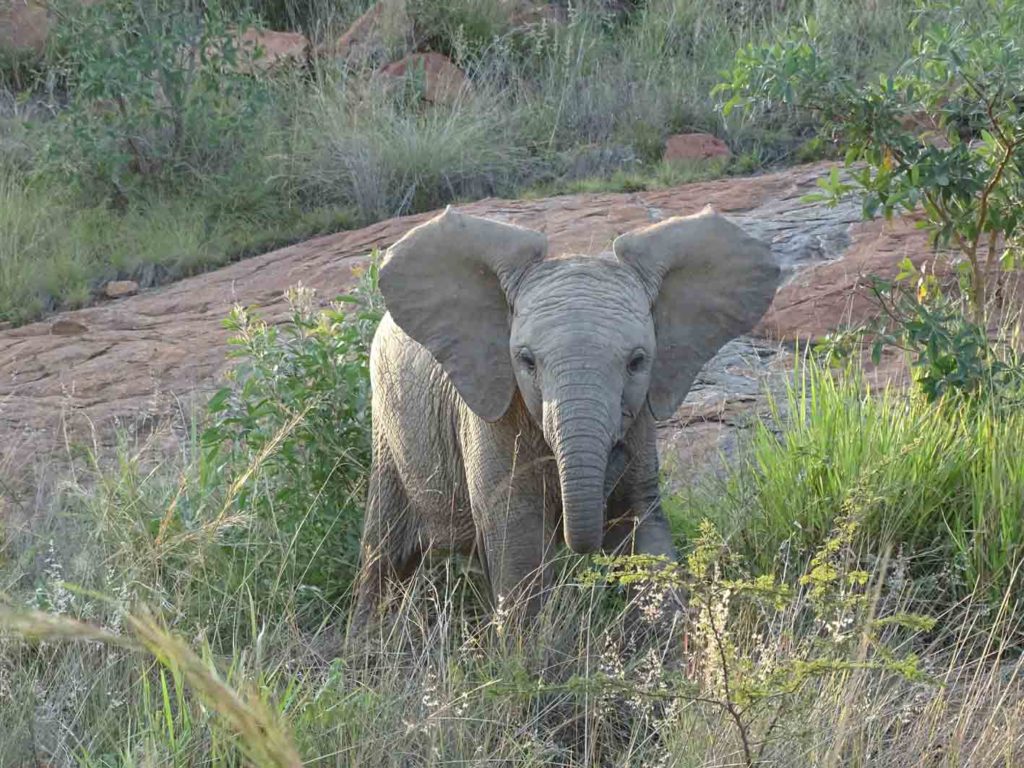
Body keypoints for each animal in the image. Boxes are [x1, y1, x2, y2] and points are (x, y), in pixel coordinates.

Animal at [352, 207, 774, 622]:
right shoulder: (492, 412)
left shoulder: (639, 421)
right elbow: (518, 541)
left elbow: (641, 523)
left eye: (637, 362)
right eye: (526, 361)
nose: (616, 454)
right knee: (383, 553)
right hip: (388, 427)